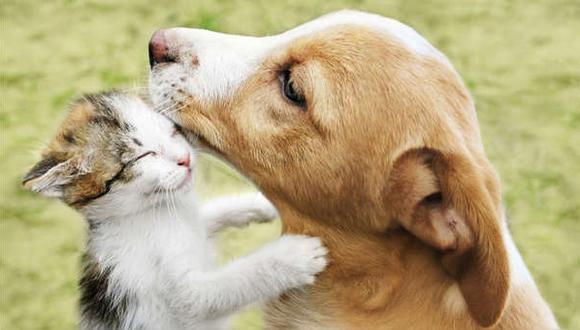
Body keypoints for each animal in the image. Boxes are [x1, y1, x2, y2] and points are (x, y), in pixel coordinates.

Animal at [22, 92, 326, 330]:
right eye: (144, 156)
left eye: (171, 130)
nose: (185, 159)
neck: (151, 214)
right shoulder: (184, 296)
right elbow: (222, 288)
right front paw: (294, 255)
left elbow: (210, 212)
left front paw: (260, 204)